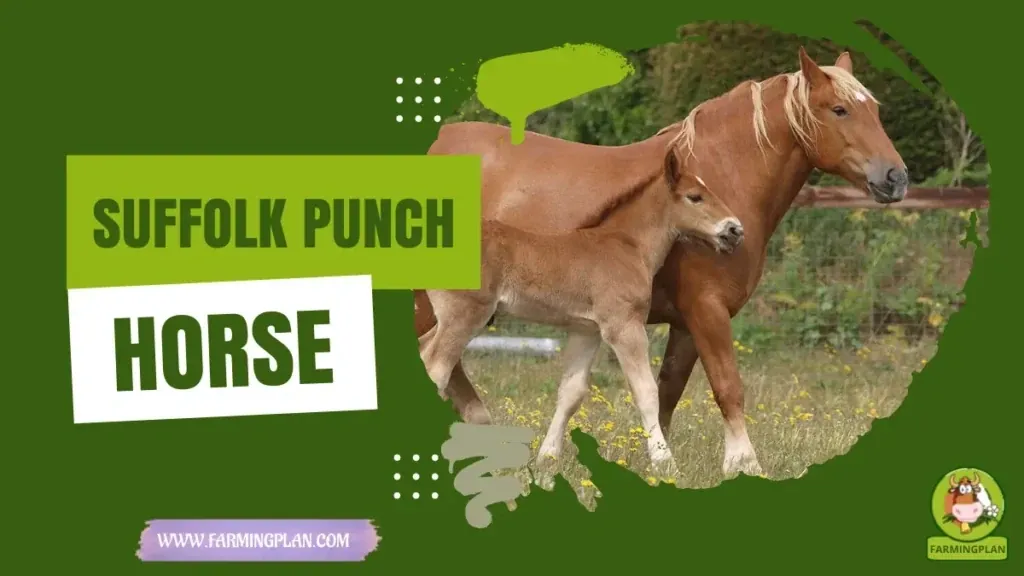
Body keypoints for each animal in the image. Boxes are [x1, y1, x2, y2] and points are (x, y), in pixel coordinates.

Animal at [418, 146, 743, 481]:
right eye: (695, 197)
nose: (734, 229)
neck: (628, 246)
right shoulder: (623, 325)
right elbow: (646, 392)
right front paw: (666, 464)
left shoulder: (586, 329)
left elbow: (571, 393)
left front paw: (547, 461)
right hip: (466, 314)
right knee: (436, 367)